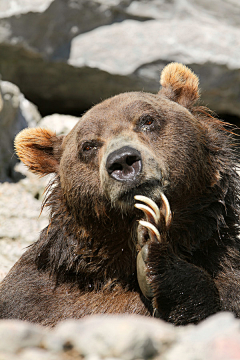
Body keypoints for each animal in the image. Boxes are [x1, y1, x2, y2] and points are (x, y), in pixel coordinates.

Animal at [0, 62, 240, 326]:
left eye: (147, 120)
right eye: (88, 145)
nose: (123, 161)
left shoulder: (224, 261)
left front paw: (156, 258)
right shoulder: (35, 294)